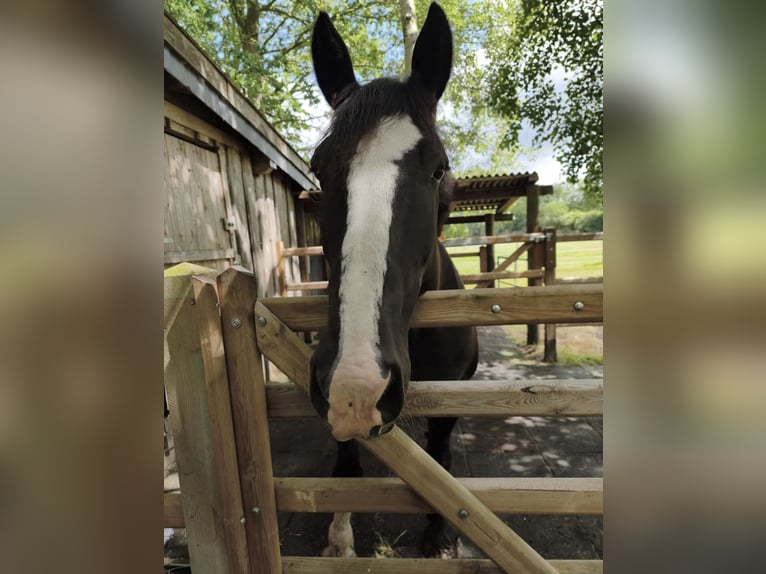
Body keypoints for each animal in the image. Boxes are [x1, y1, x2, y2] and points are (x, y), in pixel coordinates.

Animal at [309, 2, 479, 558]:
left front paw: (441, 533)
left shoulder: (453, 400)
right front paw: (340, 539)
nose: (358, 385)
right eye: (319, 170)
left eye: (438, 168)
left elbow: (441, 459)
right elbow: (344, 463)